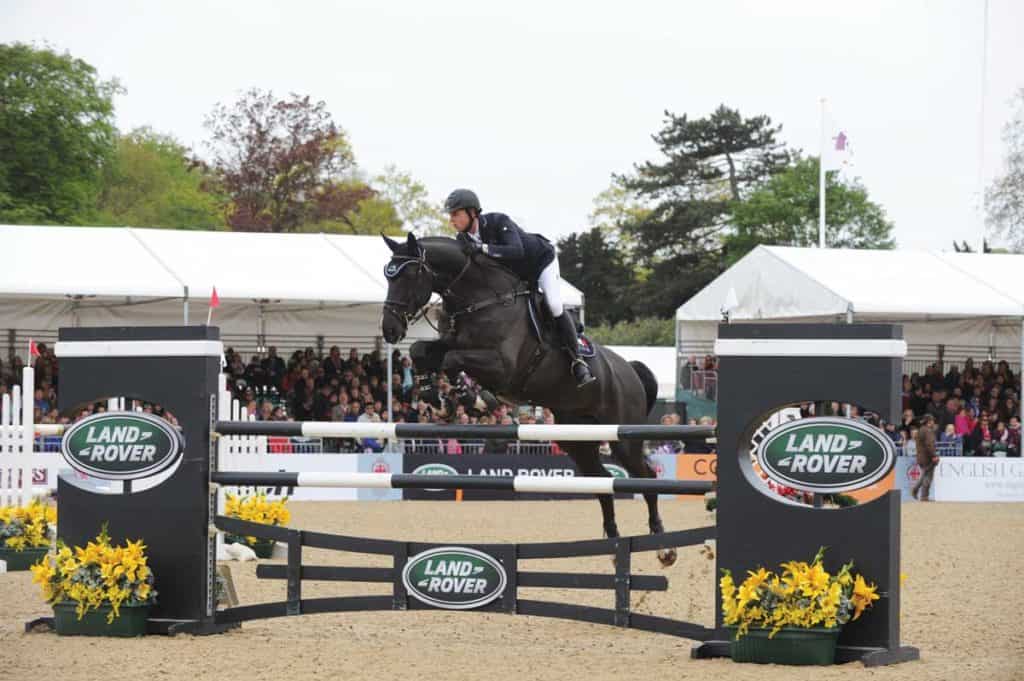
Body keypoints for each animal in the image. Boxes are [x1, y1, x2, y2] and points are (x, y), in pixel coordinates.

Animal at [380, 231, 675, 565]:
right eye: (388, 275)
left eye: (409, 275)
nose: (389, 330)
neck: (481, 298)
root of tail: (630, 369)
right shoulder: (449, 344)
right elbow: (422, 352)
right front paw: (441, 400)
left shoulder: (502, 365)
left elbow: (452, 360)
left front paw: (474, 399)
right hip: (578, 438)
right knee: (602, 482)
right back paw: (614, 545)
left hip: (623, 437)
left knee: (646, 477)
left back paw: (663, 545)